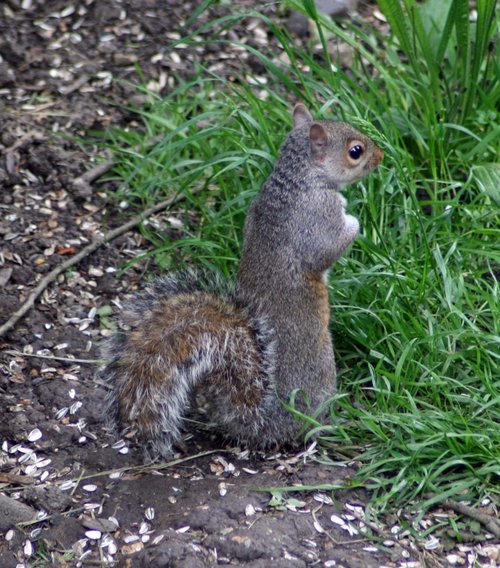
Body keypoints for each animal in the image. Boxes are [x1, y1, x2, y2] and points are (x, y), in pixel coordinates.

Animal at [100, 103, 382, 458]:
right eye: (355, 151)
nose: (381, 156)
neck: (298, 180)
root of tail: (263, 421)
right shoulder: (316, 218)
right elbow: (327, 250)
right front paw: (354, 219)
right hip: (321, 369)